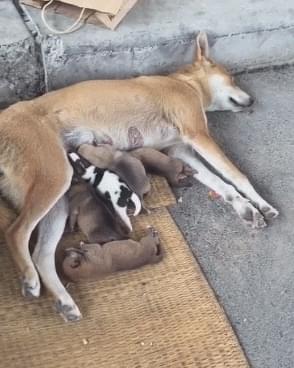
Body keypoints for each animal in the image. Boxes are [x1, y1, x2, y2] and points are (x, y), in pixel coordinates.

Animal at [0, 30, 278, 320]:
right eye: (232, 79)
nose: (253, 101)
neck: (186, 83)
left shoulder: (181, 151)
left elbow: (220, 183)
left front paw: (246, 208)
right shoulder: (198, 134)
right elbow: (236, 176)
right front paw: (263, 203)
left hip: (58, 196)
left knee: (42, 254)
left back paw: (65, 301)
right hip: (56, 177)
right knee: (15, 232)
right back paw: (30, 279)